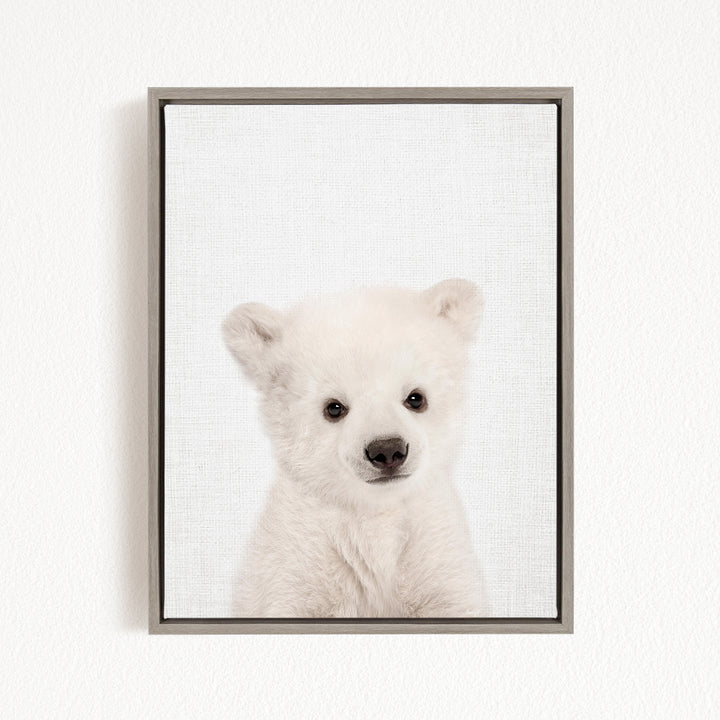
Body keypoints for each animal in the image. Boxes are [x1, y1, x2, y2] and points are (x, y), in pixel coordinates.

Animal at [223, 279, 484, 618]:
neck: (375, 512)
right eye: (334, 407)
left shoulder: (434, 548)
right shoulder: (298, 556)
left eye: (416, 398)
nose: (387, 450)